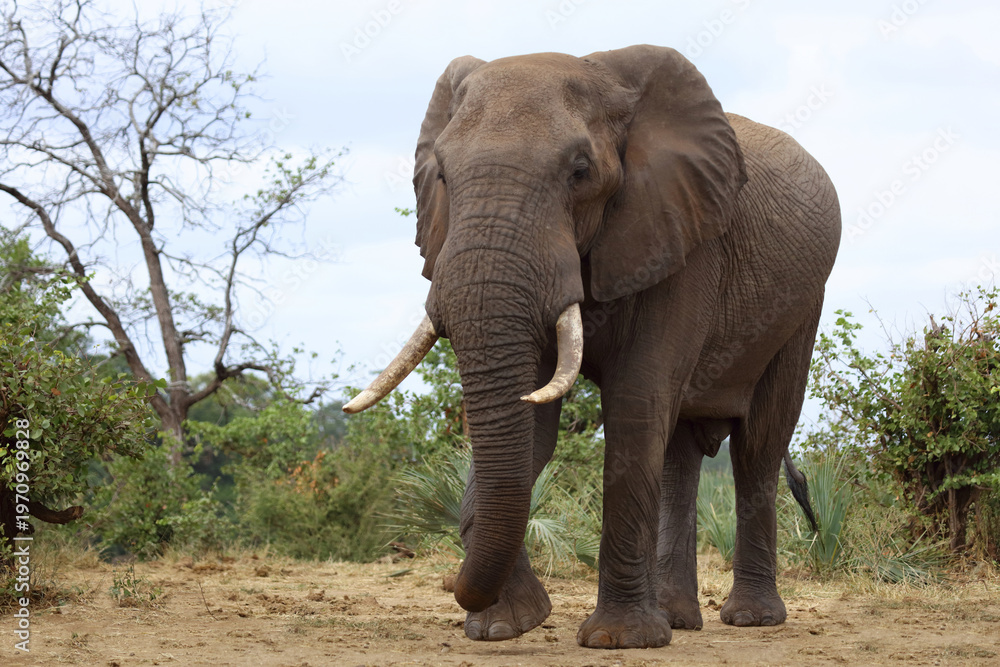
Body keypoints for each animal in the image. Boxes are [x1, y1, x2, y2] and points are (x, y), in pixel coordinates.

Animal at [345, 44, 841, 649]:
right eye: (440, 173)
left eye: (580, 172)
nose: (453, 587)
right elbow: (535, 426)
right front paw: (506, 626)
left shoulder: (681, 238)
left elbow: (635, 402)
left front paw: (619, 640)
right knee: (678, 453)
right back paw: (678, 618)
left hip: (802, 307)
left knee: (758, 446)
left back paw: (750, 619)